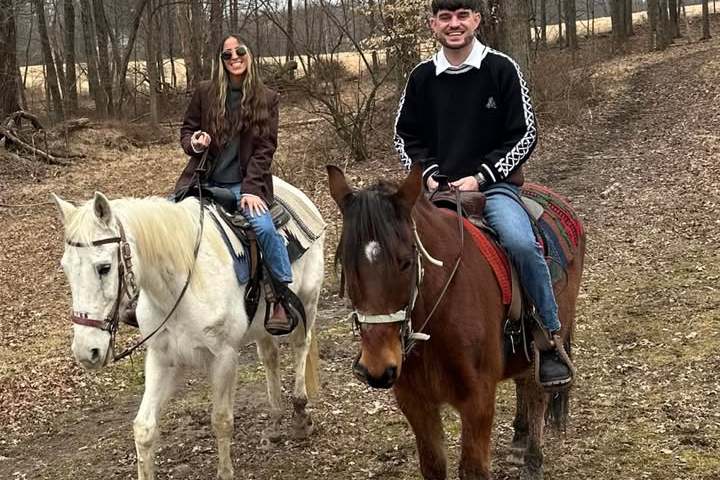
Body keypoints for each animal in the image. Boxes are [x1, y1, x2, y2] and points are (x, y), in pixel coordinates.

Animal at [52, 176, 325, 480]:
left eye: (104, 267)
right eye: (65, 268)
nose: (86, 351)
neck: (181, 285)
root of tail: (298, 194)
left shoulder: (224, 357)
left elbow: (221, 420)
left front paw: (225, 472)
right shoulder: (162, 358)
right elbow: (144, 428)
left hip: (308, 302)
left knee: (301, 346)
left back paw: (300, 416)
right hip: (262, 327)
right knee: (270, 357)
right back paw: (275, 423)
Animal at [327, 164, 585, 480]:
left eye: (405, 262)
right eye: (346, 263)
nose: (377, 367)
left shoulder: (478, 401)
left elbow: (472, 470)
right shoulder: (416, 402)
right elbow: (433, 466)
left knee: (537, 390)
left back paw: (533, 460)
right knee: (524, 379)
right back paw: (519, 440)